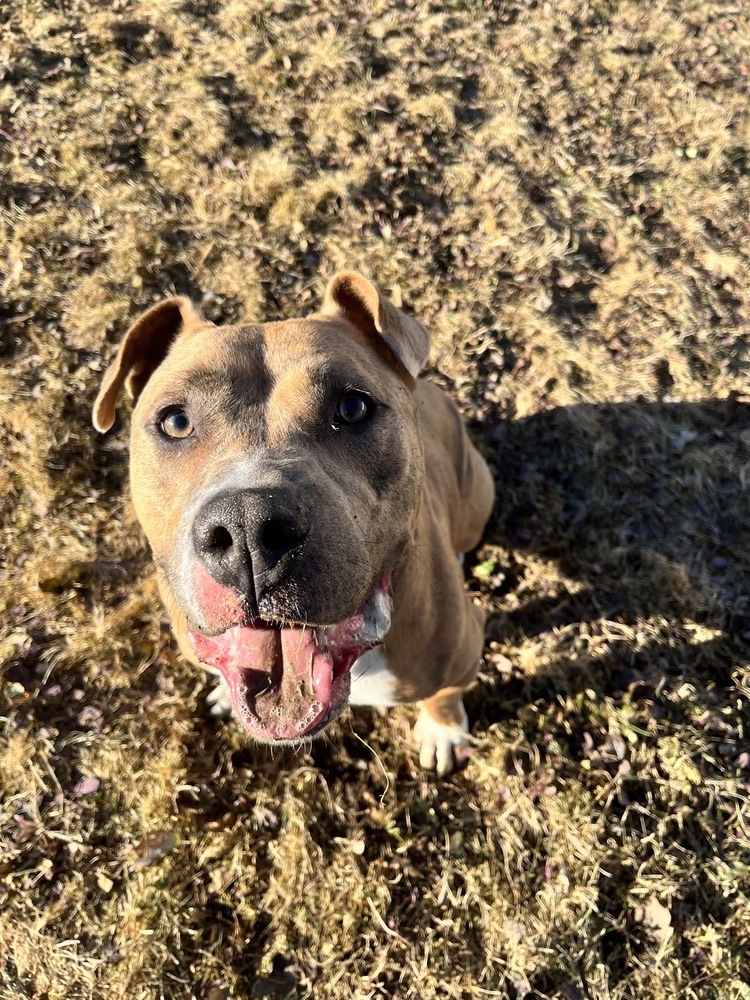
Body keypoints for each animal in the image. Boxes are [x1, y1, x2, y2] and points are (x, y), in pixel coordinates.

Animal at [91, 272, 496, 772]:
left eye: (353, 408)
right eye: (176, 421)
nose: (247, 526)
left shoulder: (464, 649)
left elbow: (444, 695)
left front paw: (443, 731)